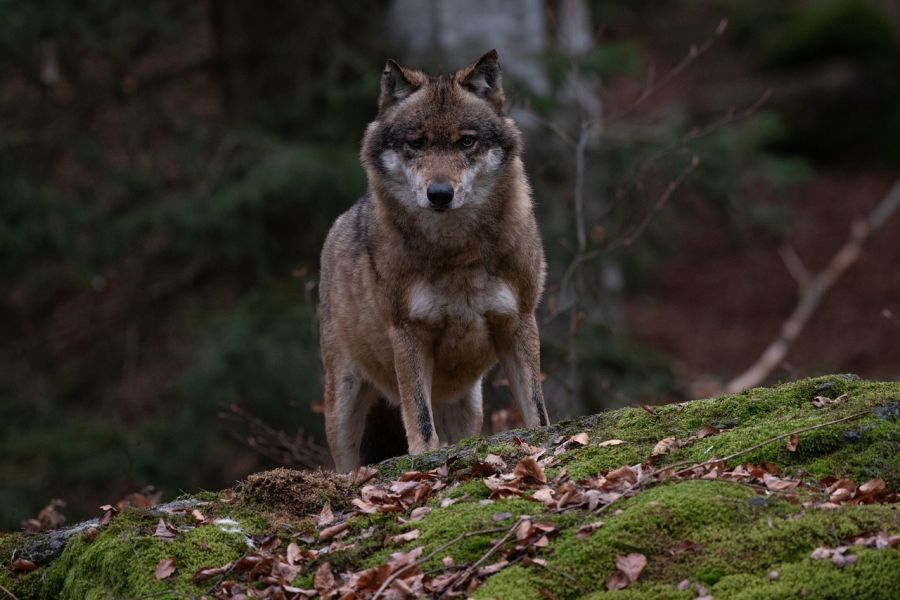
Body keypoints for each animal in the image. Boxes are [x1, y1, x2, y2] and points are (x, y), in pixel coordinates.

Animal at [324, 50, 548, 474]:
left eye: (466, 141)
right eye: (417, 143)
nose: (440, 193)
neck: (456, 252)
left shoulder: (519, 320)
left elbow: (537, 410)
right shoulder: (408, 332)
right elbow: (419, 416)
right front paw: (425, 458)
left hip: (468, 406)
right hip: (343, 401)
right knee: (344, 463)